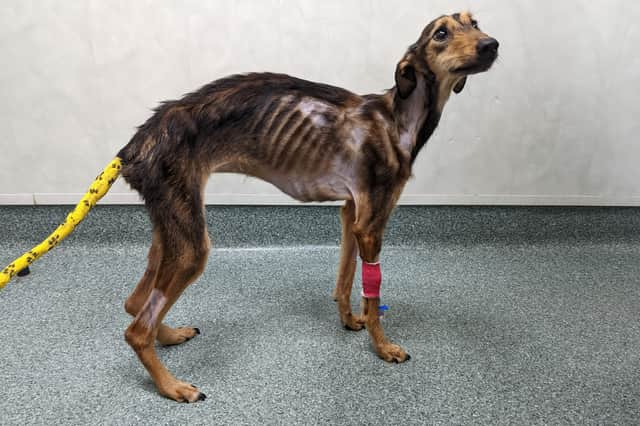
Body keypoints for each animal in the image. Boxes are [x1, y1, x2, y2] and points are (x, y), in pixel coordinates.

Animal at [2, 10, 500, 402]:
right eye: (441, 32)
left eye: (474, 22)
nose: (493, 45)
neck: (397, 116)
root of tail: (133, 144)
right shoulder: (372, 223)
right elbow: (372, 292)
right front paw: (384, 347)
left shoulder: (351, 214)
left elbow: (344, 279)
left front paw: (348, 322)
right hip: (192, 242)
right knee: (135, 327)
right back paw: (173, 387)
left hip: (172, 224)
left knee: (135, 302)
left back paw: (170, 334)